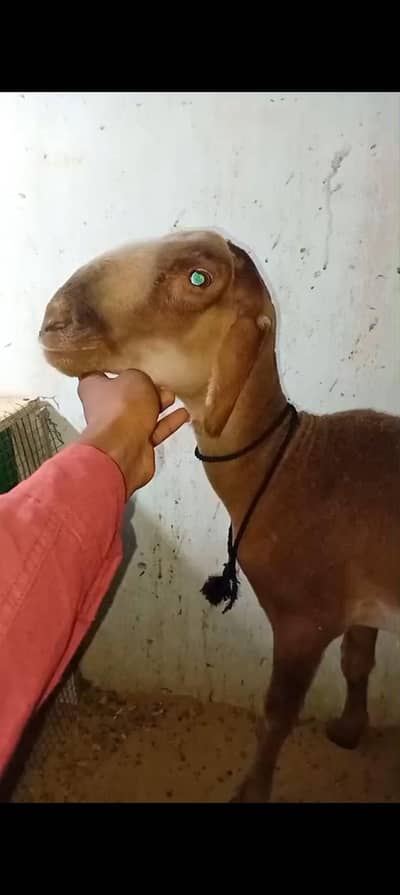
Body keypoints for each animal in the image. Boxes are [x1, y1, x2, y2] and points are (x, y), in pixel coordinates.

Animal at [39, 230, 400, 802]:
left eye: (198, 278)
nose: (54, 321)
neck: (288, 464)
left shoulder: (305, 620)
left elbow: (277, 715)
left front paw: (251, 791)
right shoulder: (360, 607)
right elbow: (357, 663)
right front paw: (348, 730)